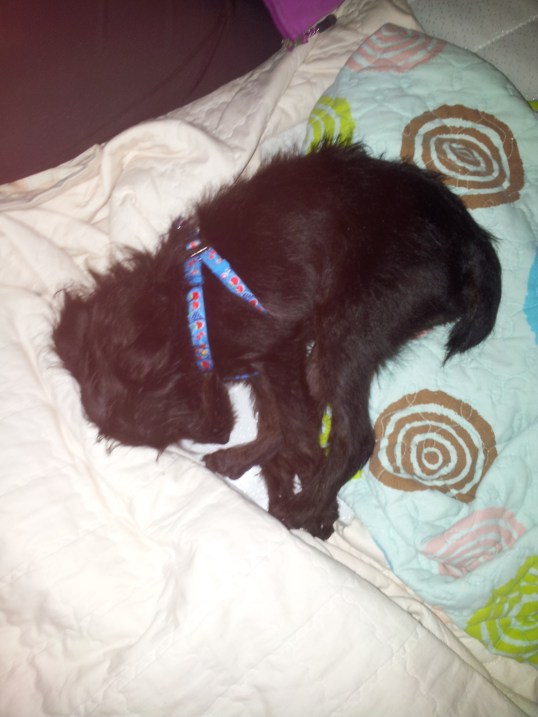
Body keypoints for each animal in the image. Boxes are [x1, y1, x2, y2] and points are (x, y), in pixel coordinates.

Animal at [53, 141, 501, 538]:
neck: (190, 304)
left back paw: (303, 505)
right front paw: (281, 478)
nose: (218, 434)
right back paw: (246, 466)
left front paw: (319, 510)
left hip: (351, 327)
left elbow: (300, 432)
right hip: (333, 345)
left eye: (174, 401)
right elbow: (280, 424)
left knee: (355, 439)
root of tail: (469, 237)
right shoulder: (266, 363)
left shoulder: (278, 349)